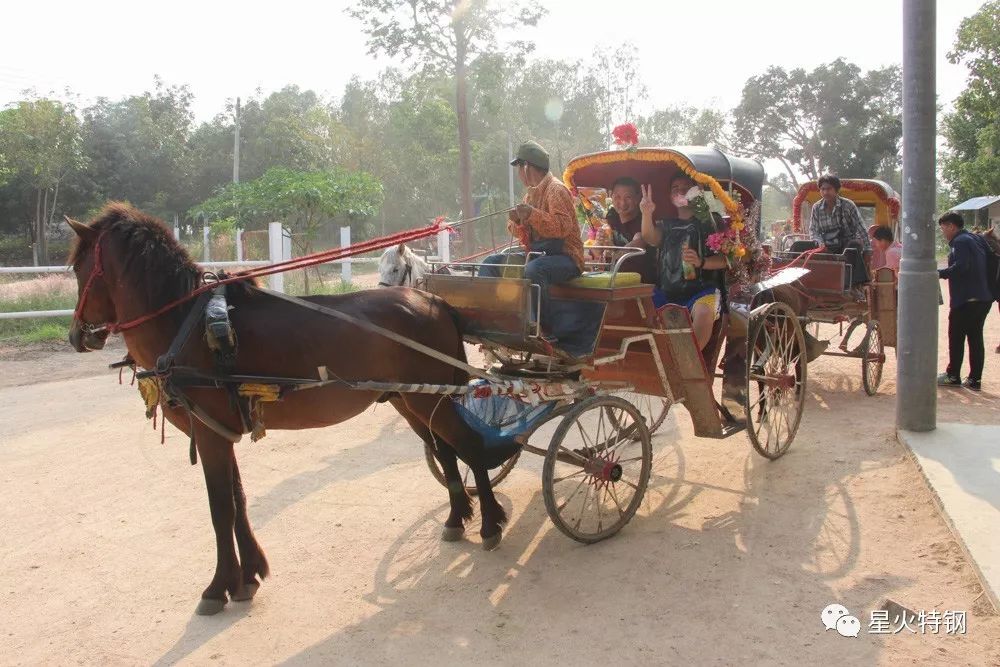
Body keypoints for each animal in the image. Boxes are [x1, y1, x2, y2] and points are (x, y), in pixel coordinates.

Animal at [66, 202, 512, 616]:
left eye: (77, 268)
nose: (76, 336)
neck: (185, 325)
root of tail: (433, 299)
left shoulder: (209, 434)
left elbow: (220, 508)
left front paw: (218, 586)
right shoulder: (222, 431)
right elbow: (238, 500)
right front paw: (248, 576)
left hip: (429, 396)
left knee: (469, 446)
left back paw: (491, 522)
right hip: (411, 400)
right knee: (446, 450)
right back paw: (457, 517)